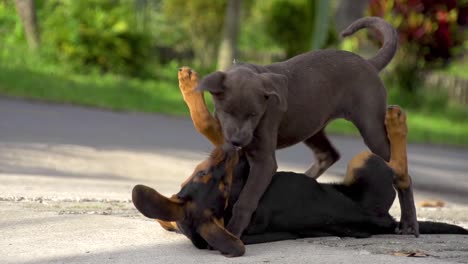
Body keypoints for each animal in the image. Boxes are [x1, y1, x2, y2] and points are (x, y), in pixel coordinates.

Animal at [196, 16, 418, 237]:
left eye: (254, 115)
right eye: (227, 112)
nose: (237, 141)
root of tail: (368, 63)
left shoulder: (264, 160)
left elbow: (247, 198)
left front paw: (232, 231)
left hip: (371, 127)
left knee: (400, 170)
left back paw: (409, 223)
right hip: (311, 125)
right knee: (328, 154)